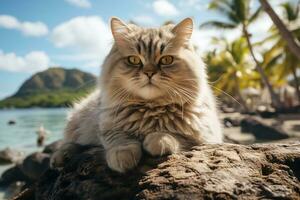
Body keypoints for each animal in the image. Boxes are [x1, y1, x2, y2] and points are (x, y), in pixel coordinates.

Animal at [50, 17, 221, 173]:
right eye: (133, 60)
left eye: (166, 59)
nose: (149, 73)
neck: (150, 109)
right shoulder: (107, 126)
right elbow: (119, 139)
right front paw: (123, 156)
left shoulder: (205, 135)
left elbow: (176, 135)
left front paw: (158, 140)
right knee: (69, 143)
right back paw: (60, 158)